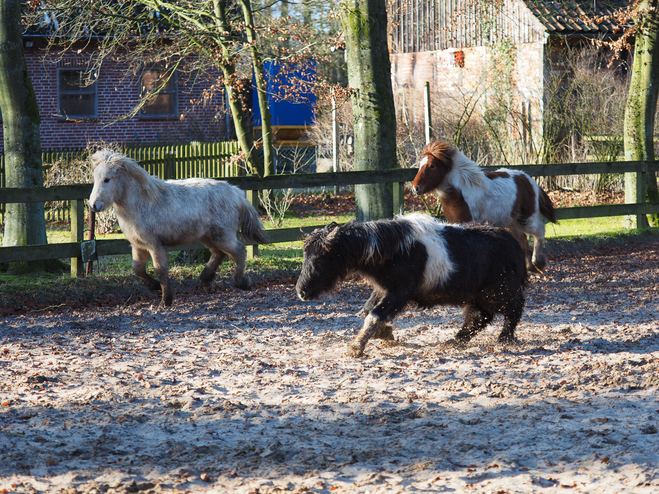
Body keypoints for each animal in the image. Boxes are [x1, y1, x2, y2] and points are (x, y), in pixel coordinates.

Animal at [87, 149, 268, 306]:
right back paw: (206, 280)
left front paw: (166, 300)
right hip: (208, 237)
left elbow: (160, 270)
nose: (93, 205)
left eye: (107, 179)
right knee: (219, 254)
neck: (141, 204)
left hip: (222, 236)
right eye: (95, 178)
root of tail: (237, 194)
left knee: (239, 251)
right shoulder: (139, 246)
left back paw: (241, 283)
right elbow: (137, 269)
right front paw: (154, 286)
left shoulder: (155, 245)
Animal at [296, 214, 528, 356]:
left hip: (498, 291)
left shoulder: (400, 292)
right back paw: (453, 342)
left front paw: (356, 348)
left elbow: (375, 314)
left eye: (320, 258)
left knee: (513, 310)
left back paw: (504, 339)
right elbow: (369, 311)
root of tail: (513, 243)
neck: (394, 249)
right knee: (479, 318)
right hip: (478, 295)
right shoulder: (383, 289)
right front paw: (385, 334)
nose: (301, 291)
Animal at [412, 140, 556, 274]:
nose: (415, 188)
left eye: (432, 165)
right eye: (420, 164)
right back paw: (530, 266)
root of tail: (529, 180)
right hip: (511, 223)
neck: (461, 193)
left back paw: (538, 263)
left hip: (526, 219)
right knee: (523, 239)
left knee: (540, 231)